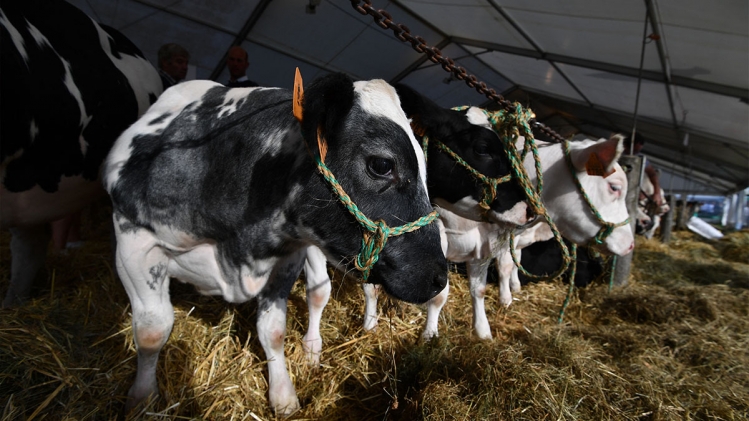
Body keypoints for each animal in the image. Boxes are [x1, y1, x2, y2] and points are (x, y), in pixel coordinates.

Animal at [103, 73, 450, 415]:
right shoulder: (133, 242)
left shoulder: (288, 257)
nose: (440, 277)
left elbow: (273, 330)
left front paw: (283, 395)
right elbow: (152, 331)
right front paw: (142, 398)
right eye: (381, 165)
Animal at [302, 84, 536, 363]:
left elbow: (471, 291)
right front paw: (314, 347)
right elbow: (321, 291)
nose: (531, 210)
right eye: (482, 148)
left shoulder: (478, 244)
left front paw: (479, 332)